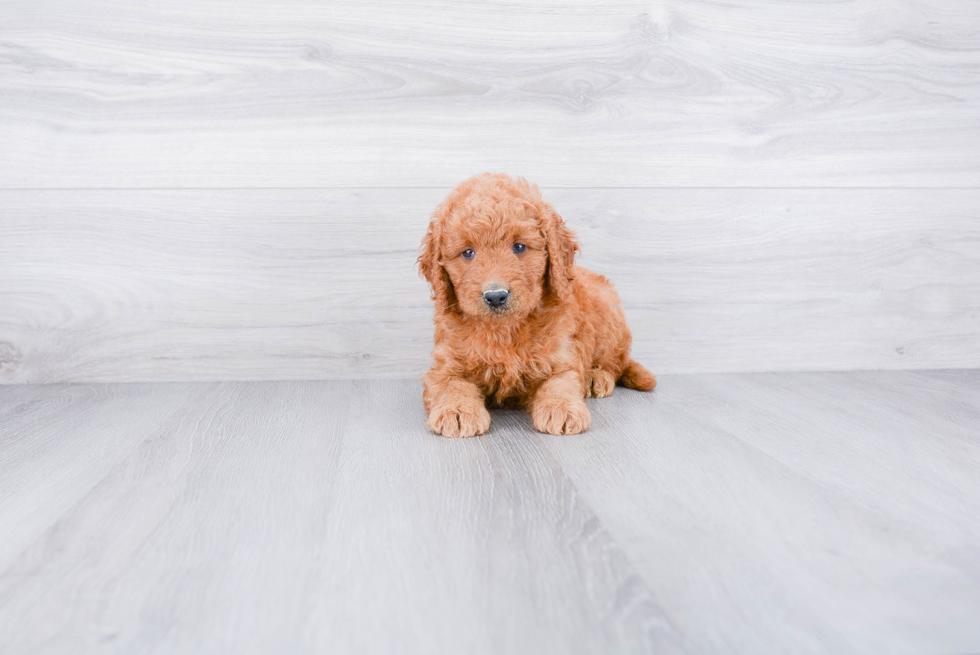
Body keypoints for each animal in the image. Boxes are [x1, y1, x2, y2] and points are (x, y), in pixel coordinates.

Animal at [418, 172, 656, 438]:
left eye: (519, 246)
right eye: (468, 252)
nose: (496, 296)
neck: (504, 330)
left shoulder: (561, 357)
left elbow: (561, 382)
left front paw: (561, 408)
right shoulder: (446, 364)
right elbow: (451, 383)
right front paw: (457, 410)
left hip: (608, 319)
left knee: (617, 363)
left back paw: (595, 377)